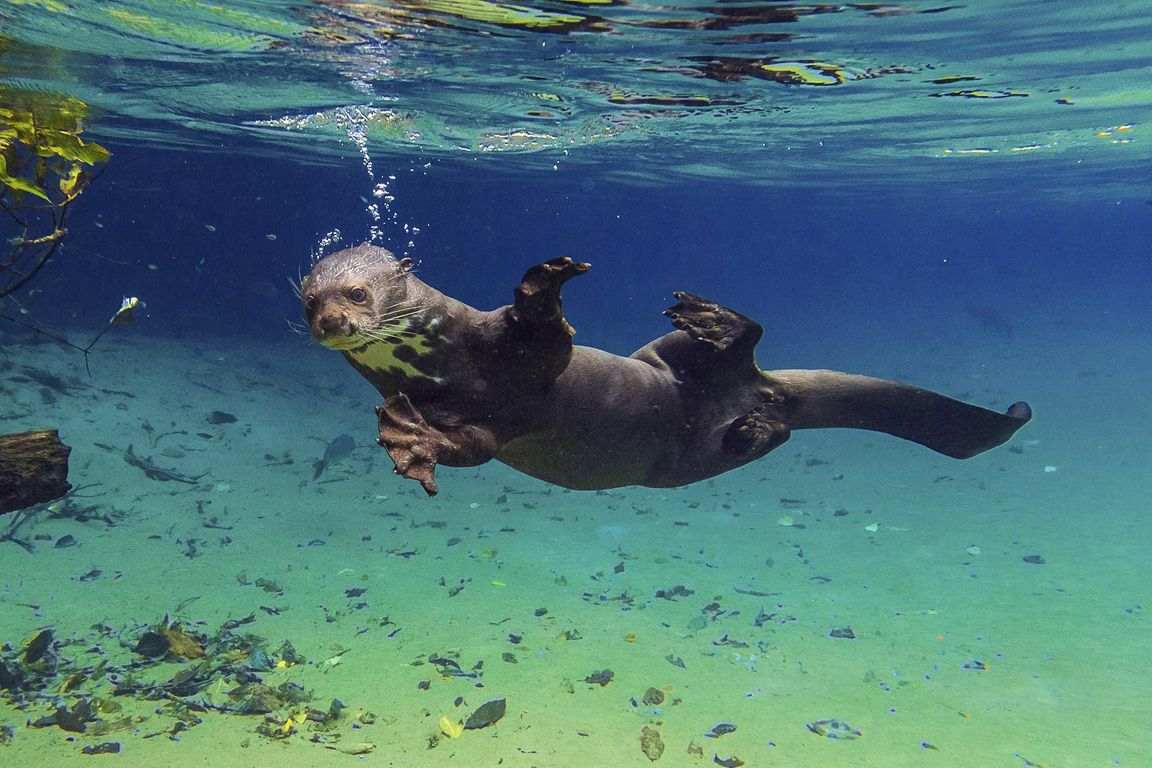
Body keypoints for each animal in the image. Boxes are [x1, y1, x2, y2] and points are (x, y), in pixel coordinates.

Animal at [301, 246, 1032, 499]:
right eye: (309, 298)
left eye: (358, 294)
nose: (329, 321)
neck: (443, 359)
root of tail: (764, 385)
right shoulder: (479, 418)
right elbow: (472, 446)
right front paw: (411, 440)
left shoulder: (506, 354)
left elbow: (548, 345)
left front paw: (545, 283)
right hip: (677, 456)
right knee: (759, 434)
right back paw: (748, 425)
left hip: (663, 356)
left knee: (747, 346)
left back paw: (717, 321)